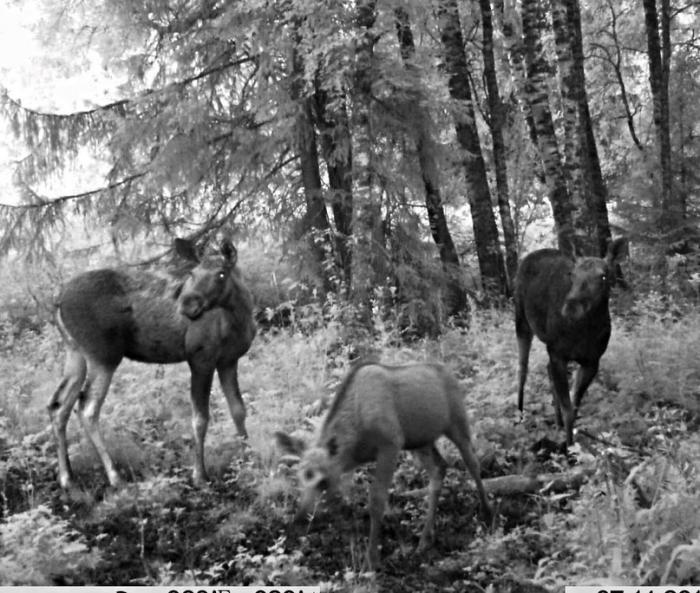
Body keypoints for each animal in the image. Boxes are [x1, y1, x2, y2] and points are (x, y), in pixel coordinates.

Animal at [49, 238, 258, 488]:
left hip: (75, 352)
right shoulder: (200, 358)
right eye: (192, 273)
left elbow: (238, 410)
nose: (186, 304)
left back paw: (66, 477)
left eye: (221, 274)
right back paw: (114, 476)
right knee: (87, 408)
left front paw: (248, 459)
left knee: (58, 405)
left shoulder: (229, 360)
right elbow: (200, 419)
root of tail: (58, 301)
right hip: (103, 355)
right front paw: (199, 475)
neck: (239, 318)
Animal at [274, 358, 492, 568]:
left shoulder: (391, 444)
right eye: (300, 477)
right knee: (439, 468)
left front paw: (371, 560)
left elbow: (377, 500)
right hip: (421, 441)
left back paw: (487, 514)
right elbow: (361, 500)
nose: (300, 518)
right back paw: (425, 539)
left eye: (323, 481)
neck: (356, 442)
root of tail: (450, 373)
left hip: (457, 423)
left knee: (473, 463)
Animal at [516, 234, 628, 446]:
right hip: (521, 321)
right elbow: (569, 409)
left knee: (546, 370)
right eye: (572, 275)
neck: (585, 332)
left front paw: (573, 443)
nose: (571, 308)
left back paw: (557, 421)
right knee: (522, 370)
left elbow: (574, 408)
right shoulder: (558, 354)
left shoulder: (592, 361)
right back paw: (519, 414)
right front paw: (568, 449)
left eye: (603, 276)